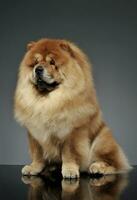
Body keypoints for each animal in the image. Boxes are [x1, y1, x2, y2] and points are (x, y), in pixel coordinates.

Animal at [14, 38, 131, 178]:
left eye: (52, 62)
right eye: (35, 63)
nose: (38, 69)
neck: (47, 102)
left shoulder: (72, 132)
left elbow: (69, 153)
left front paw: (69, 170)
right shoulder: (35, 133)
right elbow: (37, 154)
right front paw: (34, 168)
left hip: (102, 140)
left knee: (114, 163)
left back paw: (97, 167)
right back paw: (52, 168)